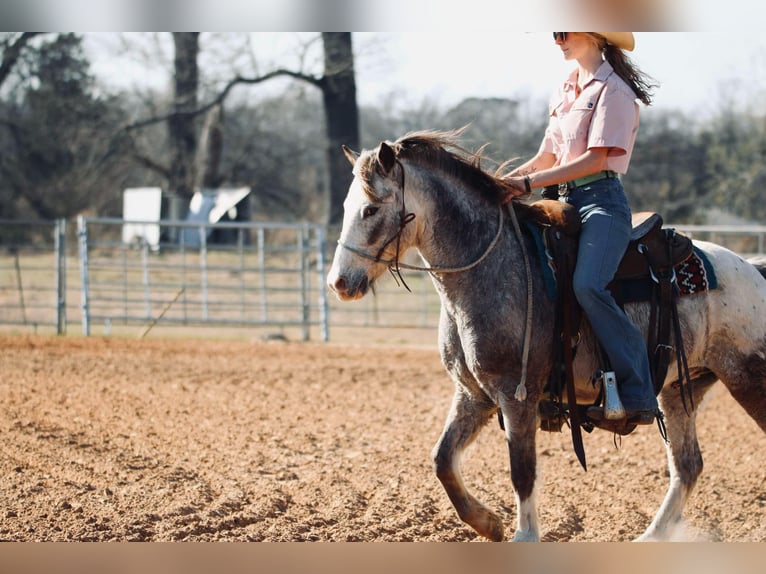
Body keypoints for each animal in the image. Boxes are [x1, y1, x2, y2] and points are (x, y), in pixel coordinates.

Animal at [326, 128, 766, 544]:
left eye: (370, 208)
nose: (339, 282)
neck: (492, 268)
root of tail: (753, 269)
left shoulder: (517, 394)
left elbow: (522, 470)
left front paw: (524, 535)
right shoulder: (473, 395)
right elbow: (442, 459)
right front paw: (488, 523)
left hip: (747, 379)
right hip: (679, 390)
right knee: (687, 465)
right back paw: (650, 537)